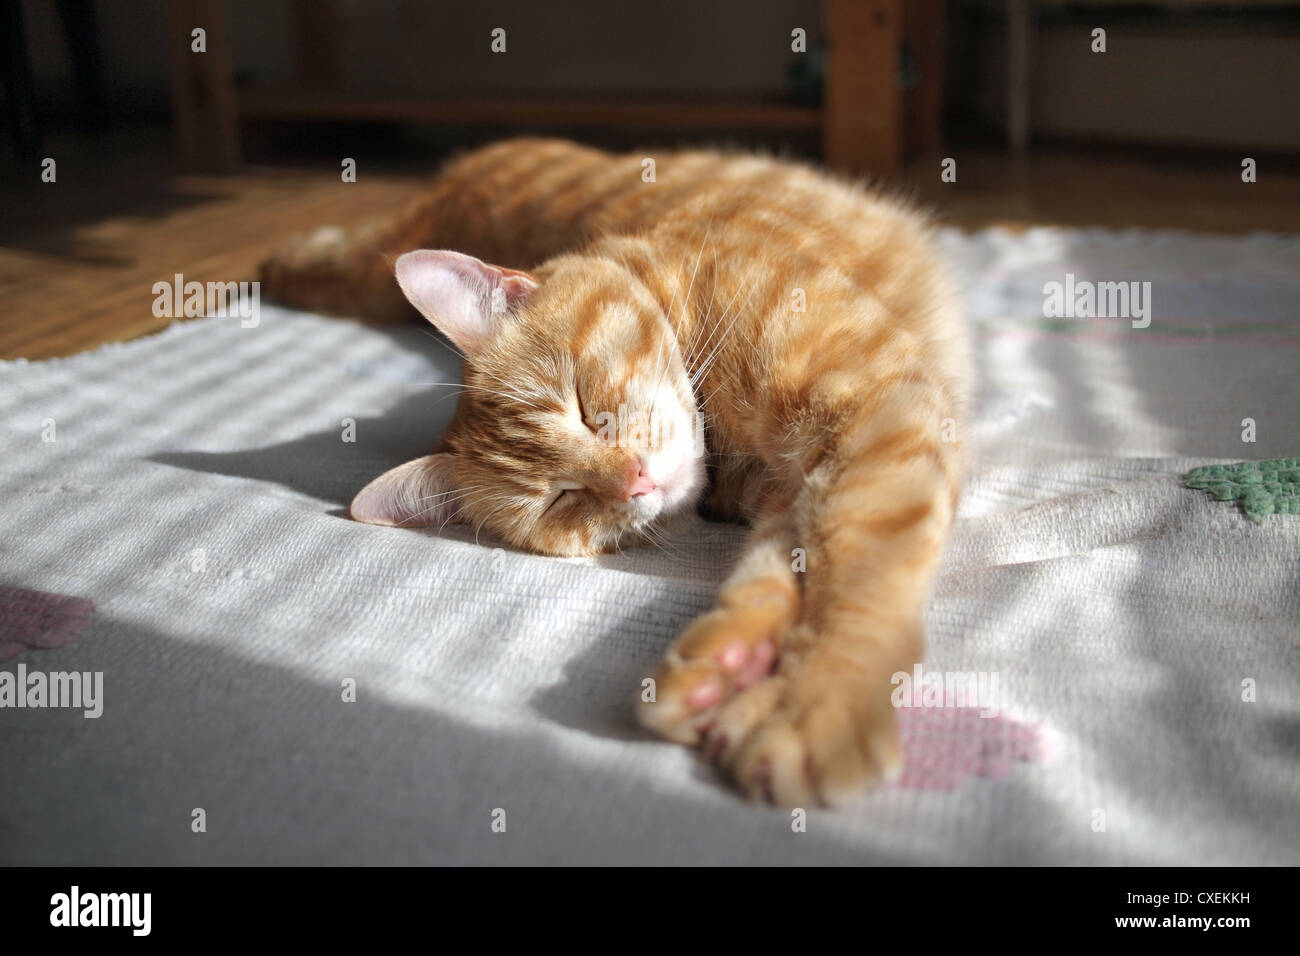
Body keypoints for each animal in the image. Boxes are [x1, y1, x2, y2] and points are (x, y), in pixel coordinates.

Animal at [261, 136, 967, 806]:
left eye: (581, 407)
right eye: (561, 499)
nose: (635, 481)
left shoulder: (872, 411)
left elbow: (858, 566)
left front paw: (816, 705)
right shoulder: (796, 487)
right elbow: (774, 566)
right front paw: (728, 664)